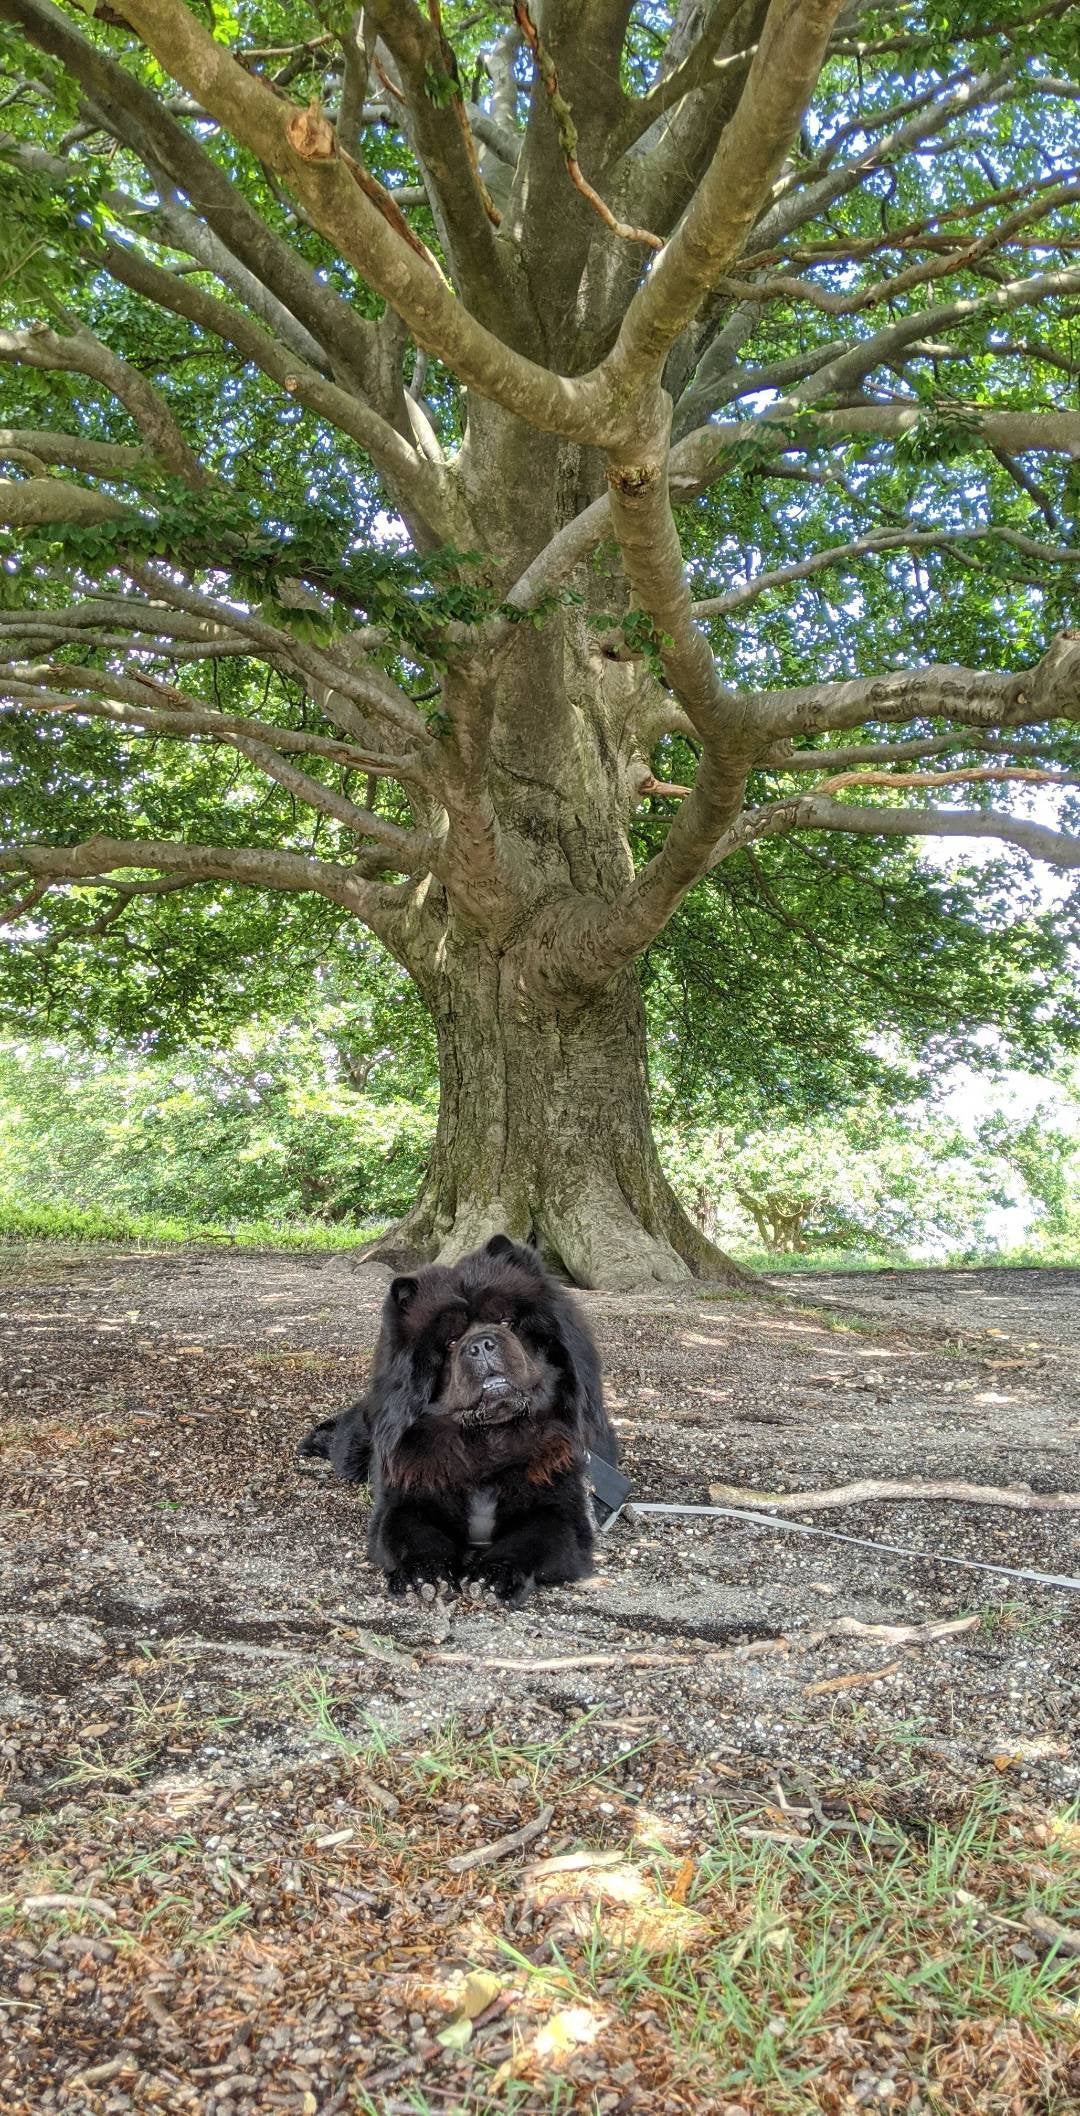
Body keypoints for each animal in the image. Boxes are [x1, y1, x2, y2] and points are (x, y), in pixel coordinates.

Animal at [298, 1235, 614, 1608]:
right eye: (450, 1342)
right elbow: (415, 1535)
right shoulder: (408, 1496)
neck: (487, 1443)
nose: (480, 1344)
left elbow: (528, 1540)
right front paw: (424, 1574)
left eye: (506, 1322)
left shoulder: (560, 1509)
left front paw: (493, 1576)